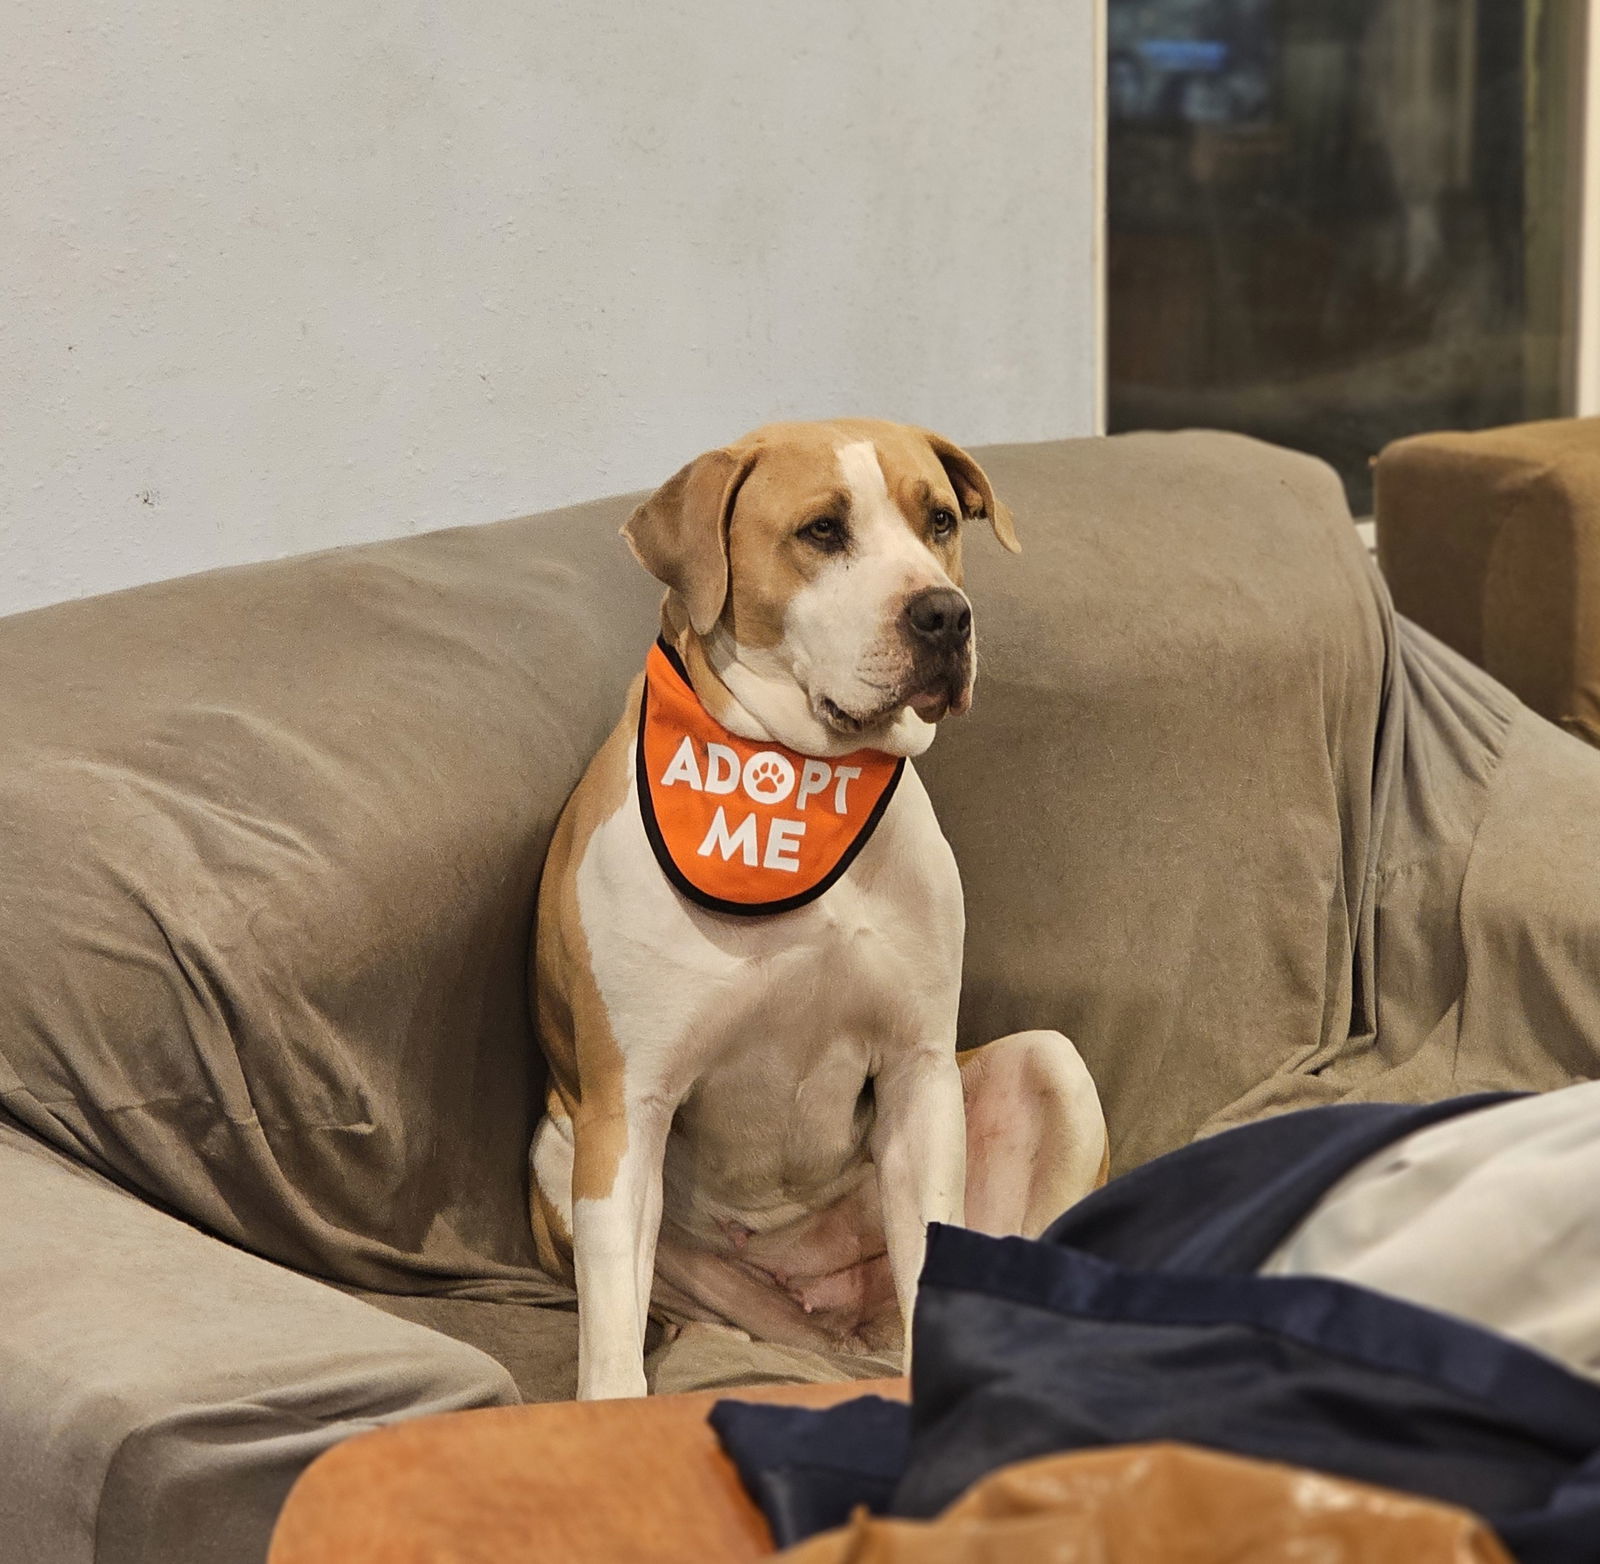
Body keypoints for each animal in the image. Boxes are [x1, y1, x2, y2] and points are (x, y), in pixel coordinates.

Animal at [531, 422, 1107, 1394]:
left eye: (941, 521)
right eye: (822, 531)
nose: (945, 614)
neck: (801, 778)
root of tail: (834, 1316)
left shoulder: (918, 1073)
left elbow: (930, 1250)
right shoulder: (626, 1109)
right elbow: (610, 1347)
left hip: (1051, 1070)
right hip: (562, 1154)